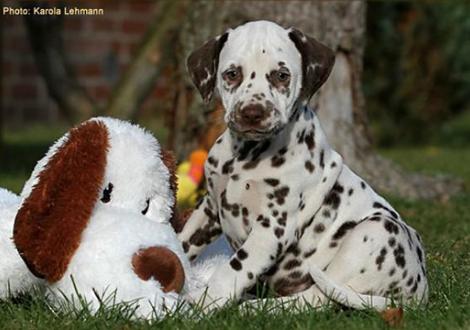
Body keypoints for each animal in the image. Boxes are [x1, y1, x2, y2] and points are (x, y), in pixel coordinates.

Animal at [178, 20, 428, 310]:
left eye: (281, 75)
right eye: (231, 74)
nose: (252, 113)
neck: (245, 155)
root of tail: (419, 291)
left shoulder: (272, 227)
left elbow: (233, 270)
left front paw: (202, 304)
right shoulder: (208, 209)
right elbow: (182, 242)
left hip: (374, 232)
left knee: (312, 299)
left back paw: (252, 307)